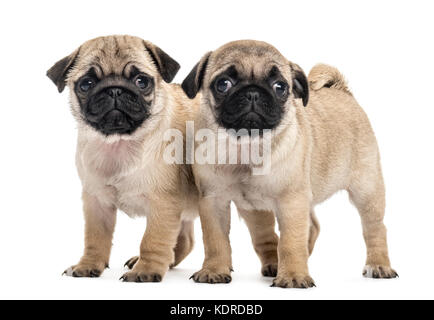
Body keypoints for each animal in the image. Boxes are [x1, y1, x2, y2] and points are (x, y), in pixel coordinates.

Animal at [47, 35, 198, 282]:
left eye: (141, 81)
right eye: (86, 84)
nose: (115, 90)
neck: (118, 143)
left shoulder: (163, 204)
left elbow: (153, 240)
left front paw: (146, 271)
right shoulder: (96, 203)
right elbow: (95, 238)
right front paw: (88, 265)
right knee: (184, 241)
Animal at [181, 40, 398, 288]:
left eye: (280, 87)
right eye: (223, 84)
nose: (253, 93)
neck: (247, 146)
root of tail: (342, 91)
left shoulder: (291, 202)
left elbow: (291, 242)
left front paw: (293, 275)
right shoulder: (213, 201)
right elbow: (216, 241)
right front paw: (214, 270)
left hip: (367, 189)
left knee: (375, 228)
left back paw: (379, 265)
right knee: (310, 227)